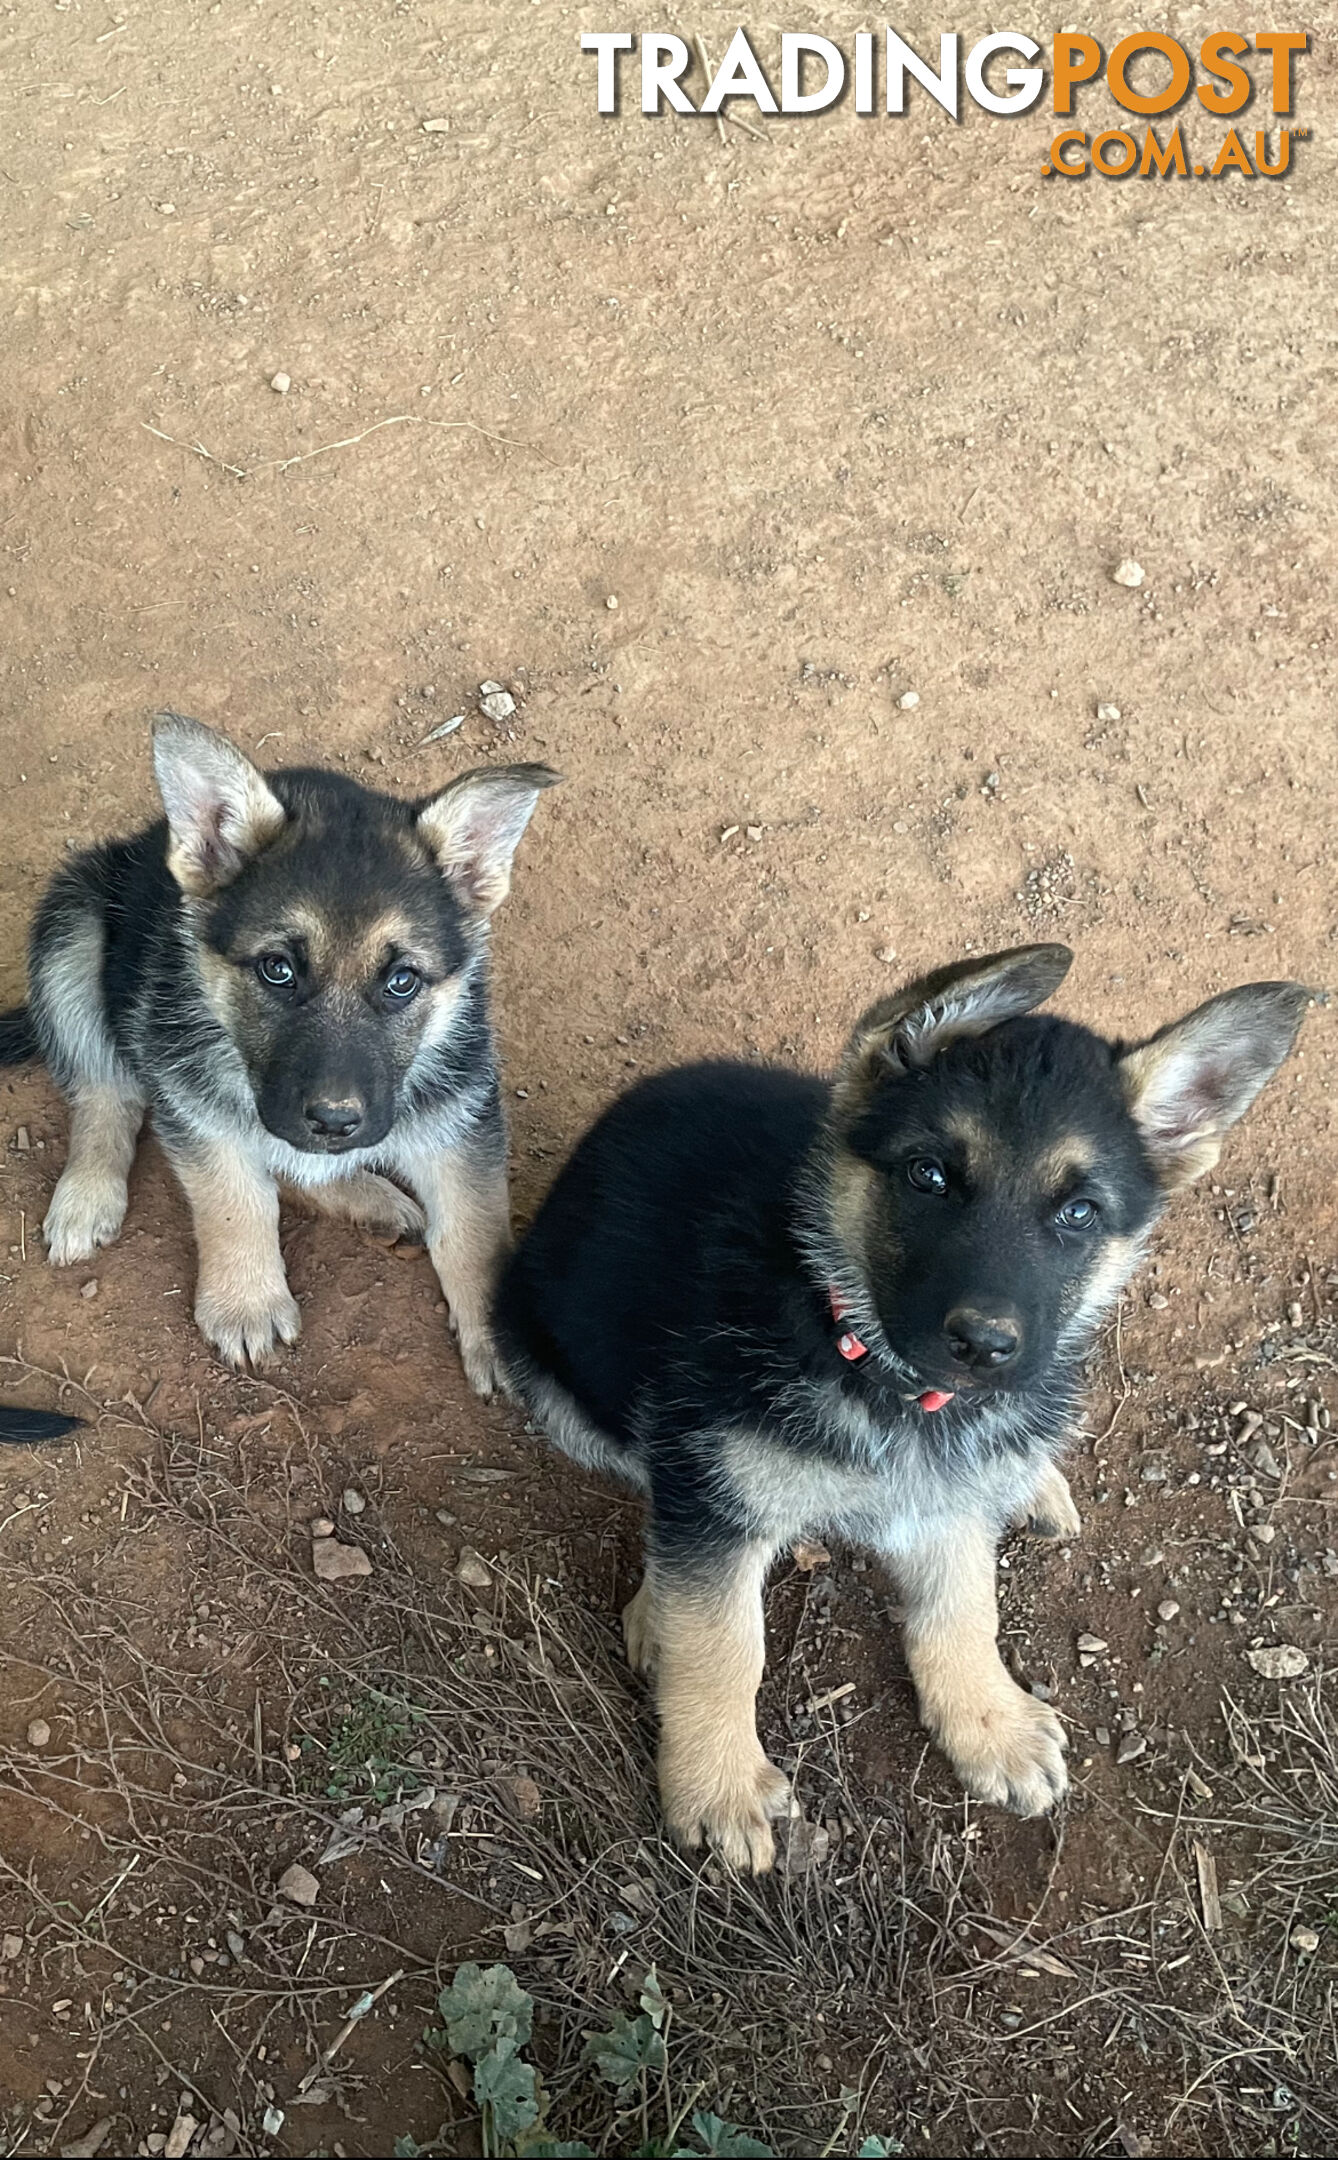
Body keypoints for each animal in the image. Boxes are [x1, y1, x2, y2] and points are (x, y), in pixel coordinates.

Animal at [0, 717, 557, 1391]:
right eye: (278, 970)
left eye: (402, 982)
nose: (335, 1122)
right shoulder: (197, 1108)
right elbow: (236, 1201)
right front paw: (246, 1303)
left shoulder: (460, 1114)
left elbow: (475, 1227)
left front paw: (505, 1338)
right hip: (72, 925)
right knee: (106, 1089)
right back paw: (87, 1194)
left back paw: (369, 1198)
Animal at [497, 950, 1314, 1874]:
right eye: (930, 1176)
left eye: (1079, 1213)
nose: (985, 1346)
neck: (875, 1368)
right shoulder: (714, 1488)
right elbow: (722, 1641)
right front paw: (717, 1781)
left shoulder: (949, 1495)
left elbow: (964, 1605)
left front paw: (987, 1721)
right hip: (555, 1381)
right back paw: (651, 1615)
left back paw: (1033, 1481)